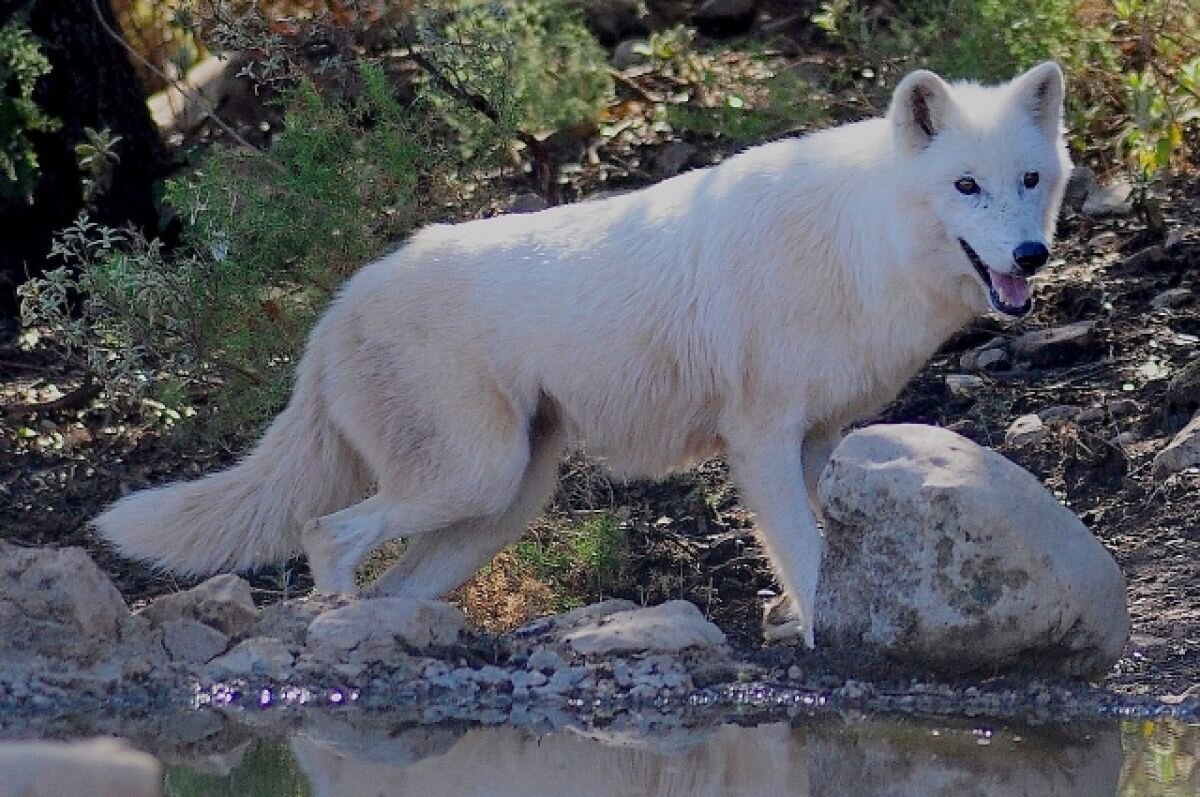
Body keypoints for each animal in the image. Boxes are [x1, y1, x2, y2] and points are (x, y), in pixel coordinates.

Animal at [93, 62, 1070, 648]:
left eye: (1029, 179)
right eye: (965, 186)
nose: (1031, 257)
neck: (858, 242)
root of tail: (334, 312)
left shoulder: (819, 440)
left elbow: (813, 549)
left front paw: (800, 621)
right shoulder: (760, 441)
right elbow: (805, 547)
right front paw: (827, 636)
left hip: (499, 504)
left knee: (390, 576)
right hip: (475, 479)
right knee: (324, 531)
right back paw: (334, 620)